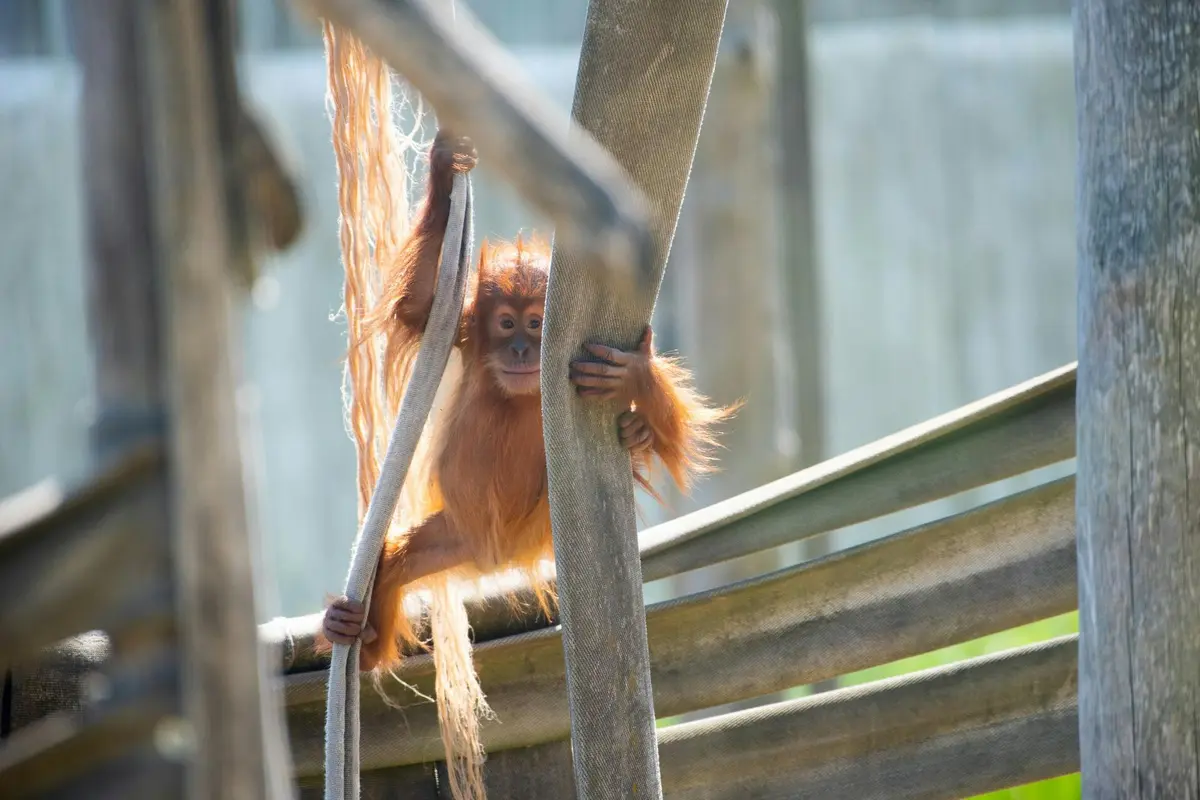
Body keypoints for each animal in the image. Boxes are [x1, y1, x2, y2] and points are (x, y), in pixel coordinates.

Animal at [319, 131, 734, 673]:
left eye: (537, 324)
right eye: (507, 324)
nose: (520, 349)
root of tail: (498, 556)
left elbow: (678, 433)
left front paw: (634, 375)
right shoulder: (465, 329)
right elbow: (419, 307)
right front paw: (446, 168)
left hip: (532, 530)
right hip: (458, 534)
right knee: (394, 561)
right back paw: (356, 632)